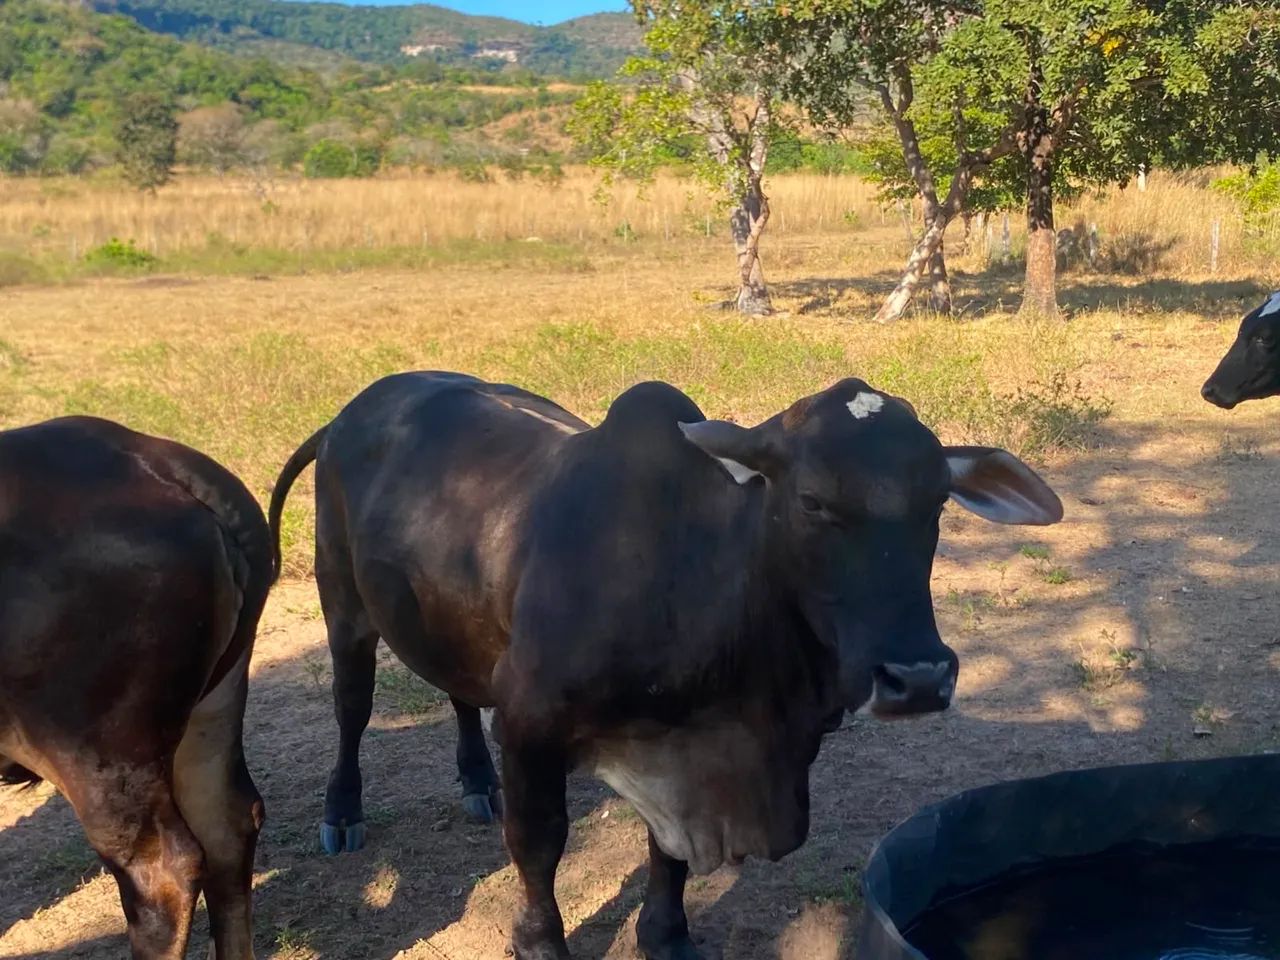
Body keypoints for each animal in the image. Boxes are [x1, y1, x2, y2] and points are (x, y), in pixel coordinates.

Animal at [268, 372, 1063, 960]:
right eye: (811, 501)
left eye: (939, 504)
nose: (919, 679)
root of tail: (348, 415)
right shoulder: (529, 723)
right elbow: (539, 842)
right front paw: (540, 943)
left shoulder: (681, 744)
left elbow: (669, 851)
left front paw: (667, 934)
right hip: (343, 606)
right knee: (352, 707)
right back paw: (343, 812)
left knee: (459, 692)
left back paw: (474, 782)